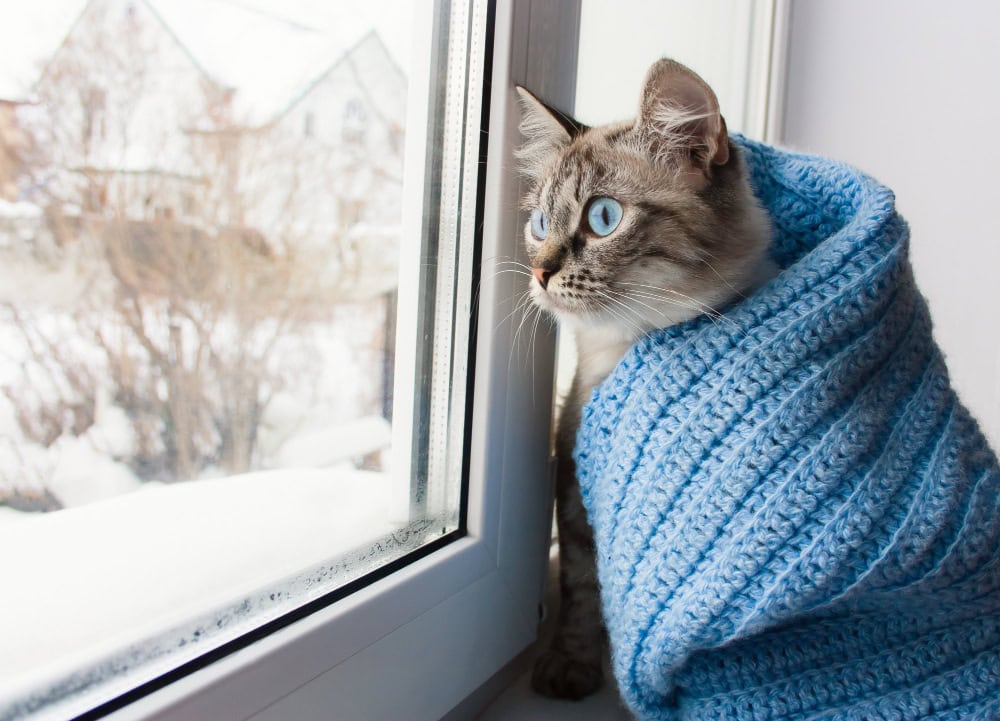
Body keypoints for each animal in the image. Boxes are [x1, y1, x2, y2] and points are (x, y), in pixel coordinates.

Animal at [516, 59, 772, 700]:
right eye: (539, 223)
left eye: (603, 218)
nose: (539, 272)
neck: (616, 354)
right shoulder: (575, 481)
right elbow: (583, 587)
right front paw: (571, 668)